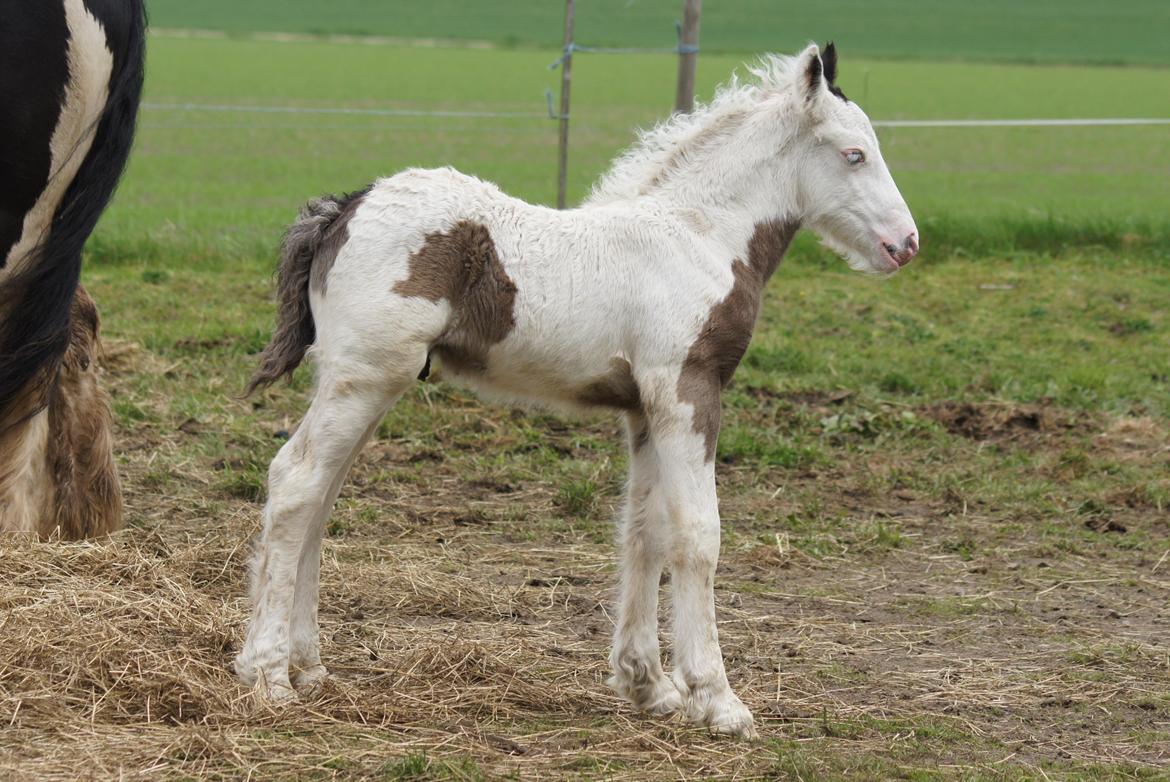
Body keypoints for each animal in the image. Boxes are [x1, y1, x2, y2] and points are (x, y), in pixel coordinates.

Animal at [235, 45, 912, 735]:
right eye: (854, 154)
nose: (905, 244)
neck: (698, 236)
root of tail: (343, 209)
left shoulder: (644, 409)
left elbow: (645, 530)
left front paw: (649, 687)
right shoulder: (687, 392)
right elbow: (698, 534)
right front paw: (718, 700)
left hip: (361, 382)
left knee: (319, 499)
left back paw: (308, 668)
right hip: (367, 377)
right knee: (297, 482)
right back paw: (268, 677)